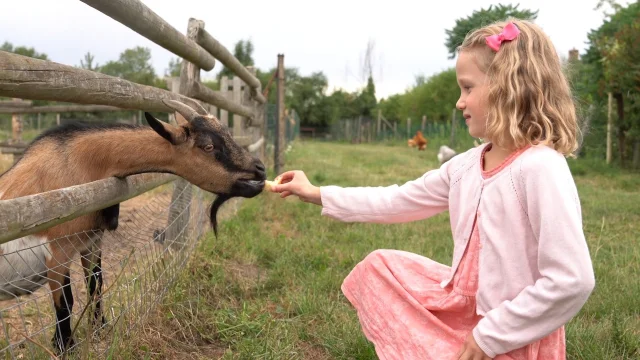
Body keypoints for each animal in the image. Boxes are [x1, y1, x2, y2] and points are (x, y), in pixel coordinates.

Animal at [0, 99, 264, 354]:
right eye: (208, 146)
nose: (260, 168)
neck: (74, 164)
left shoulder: (91, 241)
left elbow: (96, 284)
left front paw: (100, 330)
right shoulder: (57, 250)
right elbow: (65, 302)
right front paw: (65, 347)